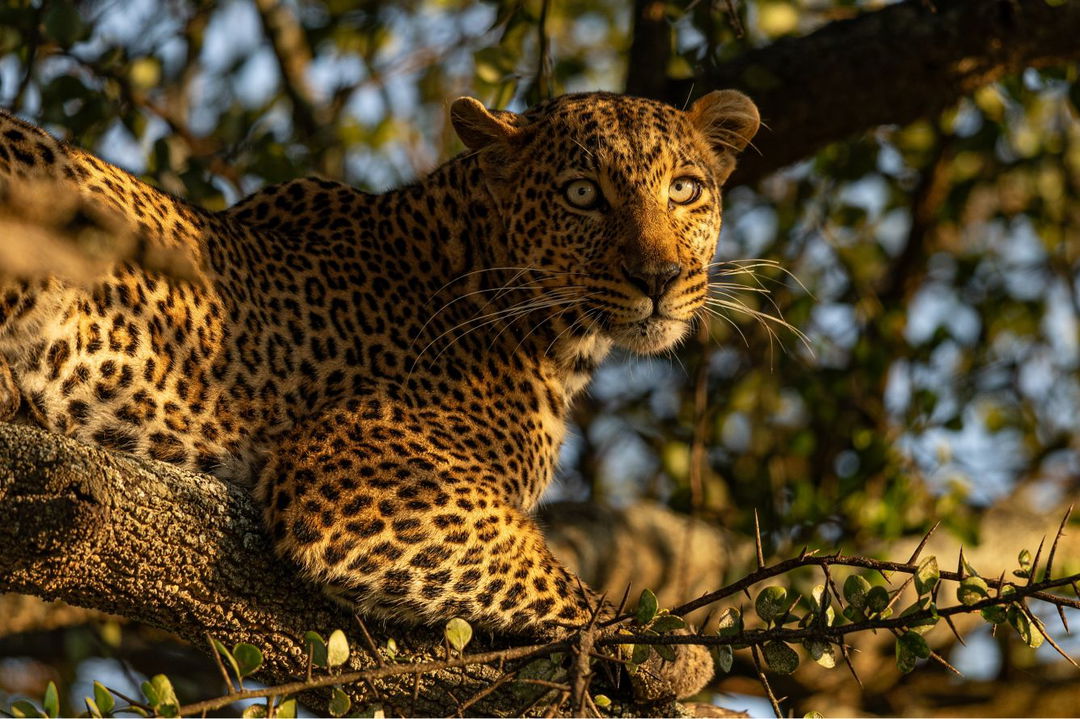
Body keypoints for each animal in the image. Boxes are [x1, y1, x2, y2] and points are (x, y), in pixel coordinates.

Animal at [0, 89, 759, 699]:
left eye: (685, 189)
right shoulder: (350, 468)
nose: (659, 276)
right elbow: (541, 564)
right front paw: (666, 648)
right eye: (581, 195)